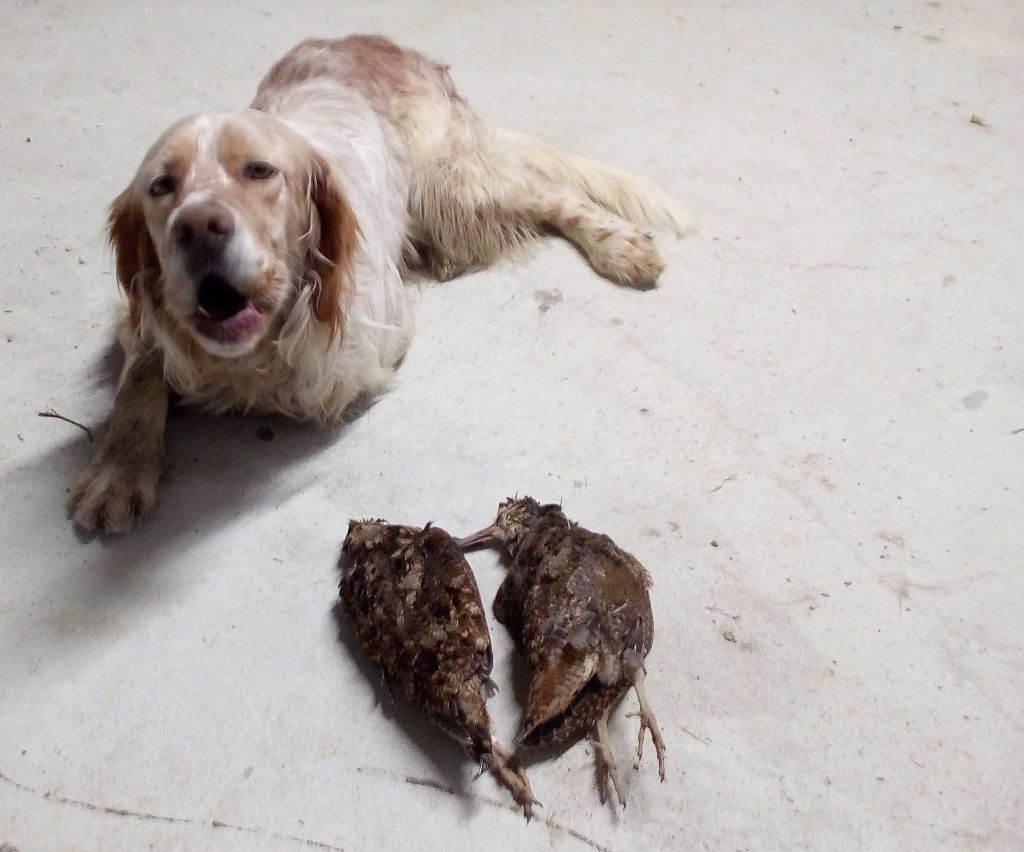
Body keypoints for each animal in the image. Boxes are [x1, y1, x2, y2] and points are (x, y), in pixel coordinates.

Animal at [72, 39, 692, 536]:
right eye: (161, 186)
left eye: (260, 171)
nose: (198, 226)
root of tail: (385, 44)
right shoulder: (142, 318)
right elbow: (141, 375)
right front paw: (117, 472)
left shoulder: (373, 341)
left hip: (449, 181)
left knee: (552, 195)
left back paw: (620, 248)